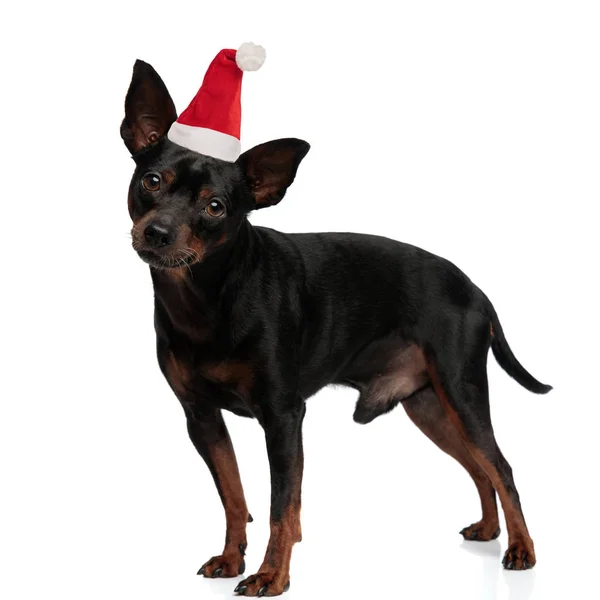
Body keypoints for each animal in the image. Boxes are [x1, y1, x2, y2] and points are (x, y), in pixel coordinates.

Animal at [119, 59, 552, 596]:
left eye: (215, 206)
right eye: (152, 181)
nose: (156, 233)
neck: (206, 297)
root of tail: (475, 289)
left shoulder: (283, 417)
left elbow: (282, 507)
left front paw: (272, 575)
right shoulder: (201, 418)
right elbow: (235, 498)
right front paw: (232, 558)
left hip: (461, 391)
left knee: (501, 467)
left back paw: (521, 548)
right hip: (429, 405)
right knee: (478, 467)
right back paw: (490, 530)